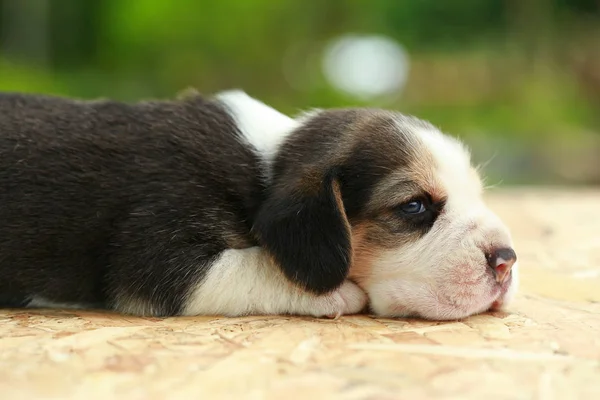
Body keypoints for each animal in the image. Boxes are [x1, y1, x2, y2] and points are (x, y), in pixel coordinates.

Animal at [0, 89, 516, 320]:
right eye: (414, 207)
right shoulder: (164, 257)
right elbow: (255, 265)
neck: (264, 169)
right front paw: (338, 293)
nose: (507, 261)